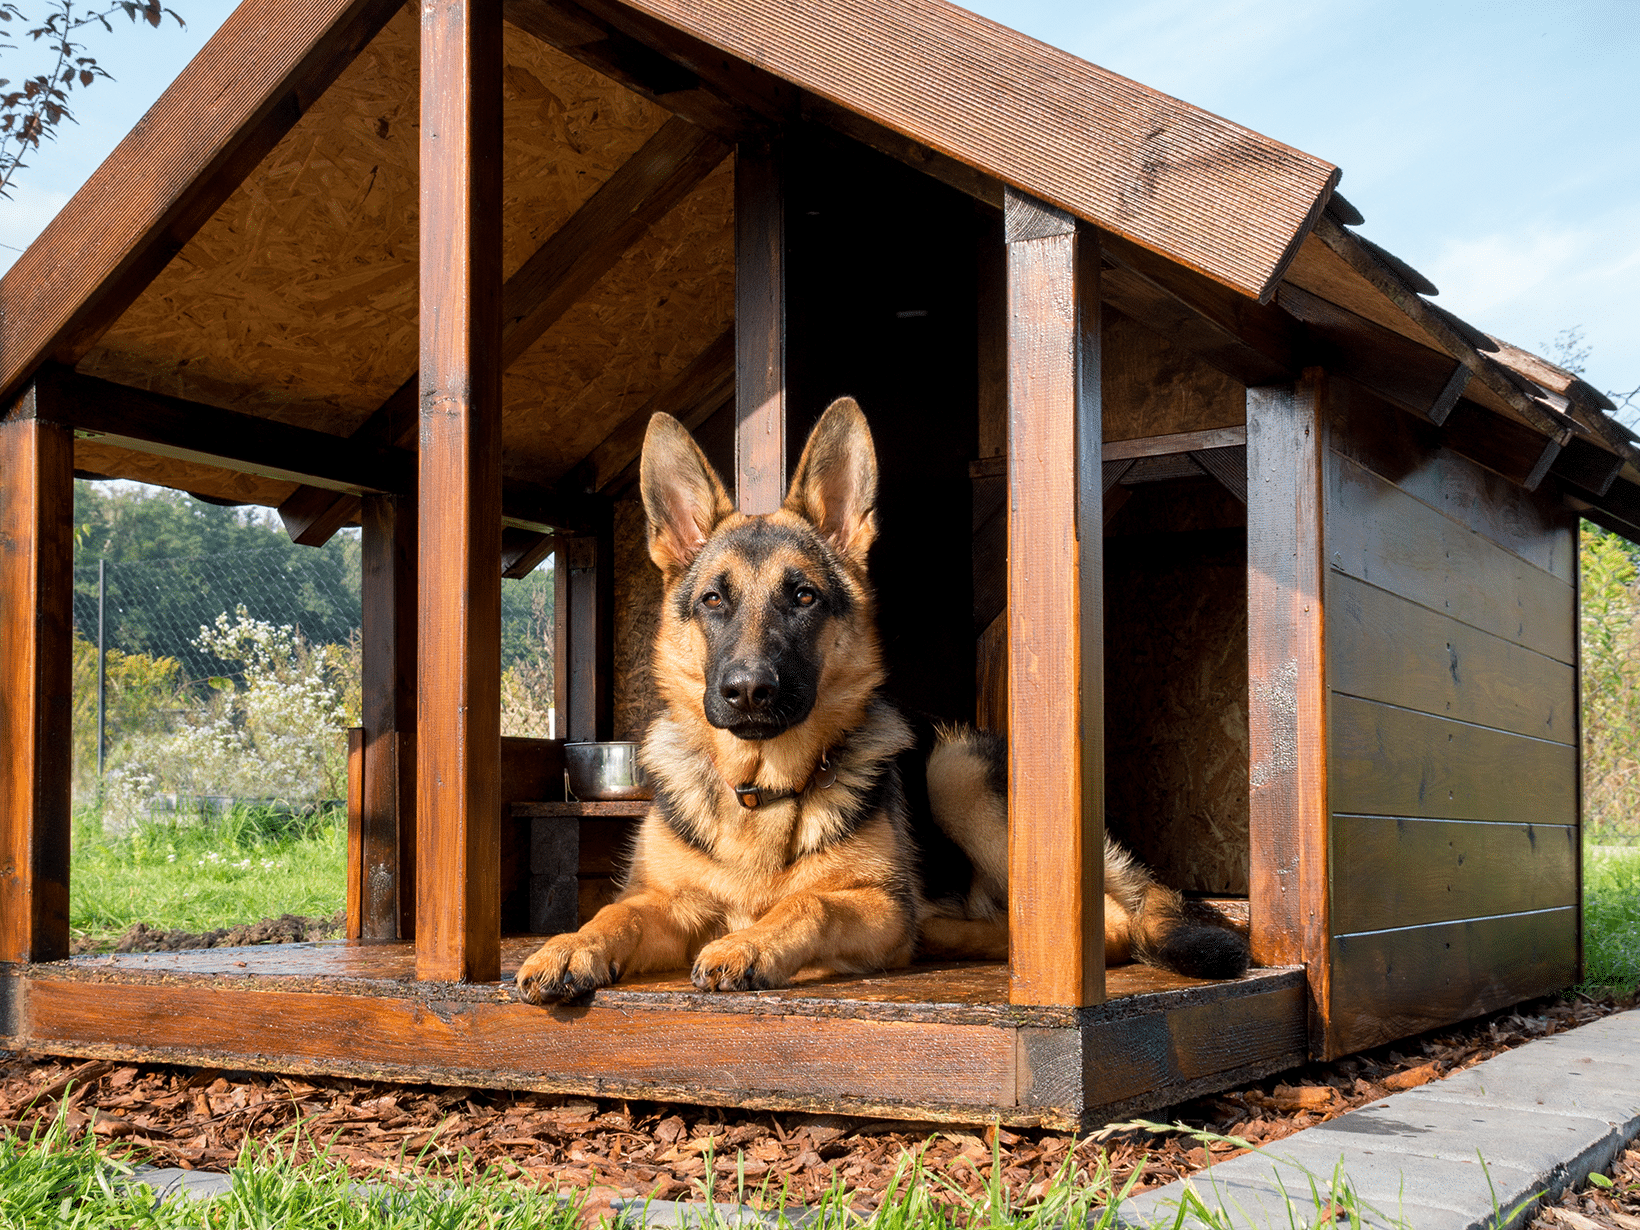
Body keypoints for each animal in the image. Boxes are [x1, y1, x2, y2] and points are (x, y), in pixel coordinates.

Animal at [518, 400, 1246, 1003]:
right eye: (714, 600)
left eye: (803, 596)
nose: (749, 691)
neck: (760, 791)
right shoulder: (670, 902)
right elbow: (615, 912)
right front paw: (568, 946)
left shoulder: (870, 902)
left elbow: (810, 905)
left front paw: (751, 943)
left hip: (955, 769)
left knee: (1111, 923)